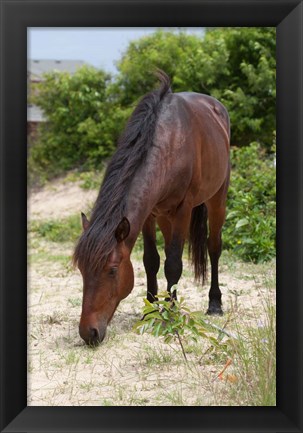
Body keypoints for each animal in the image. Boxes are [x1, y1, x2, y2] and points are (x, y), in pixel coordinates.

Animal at [73, 70, 230, 344]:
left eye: (112, 270)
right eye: (82, 270)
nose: (88, 333)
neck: (170, 143)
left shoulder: (183, 210)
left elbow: (173, 263)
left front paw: (172, 314)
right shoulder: (148, 214)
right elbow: (152, 260)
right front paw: (150, 310)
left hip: (217, 197)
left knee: (213, 247)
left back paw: (214, 304)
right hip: (165, 216)